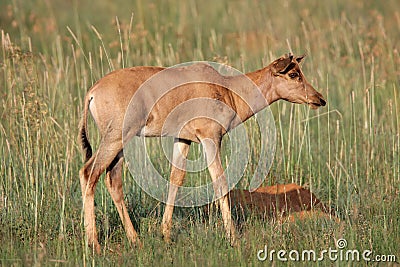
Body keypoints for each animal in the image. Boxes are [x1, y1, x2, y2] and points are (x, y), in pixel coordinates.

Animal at [78, 54, 324, 253]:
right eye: (293, 73)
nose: (319, 99)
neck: (226, 88)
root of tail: (93, 91)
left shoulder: (183, 139)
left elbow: (175, 180)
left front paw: (166, 235)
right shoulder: (210, 138)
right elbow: (220, 183)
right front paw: (233, 239)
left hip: (120, 144)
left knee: (113, 181)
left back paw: (135, 240)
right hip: (116, 139)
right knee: (88, 172)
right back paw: (94, 245)